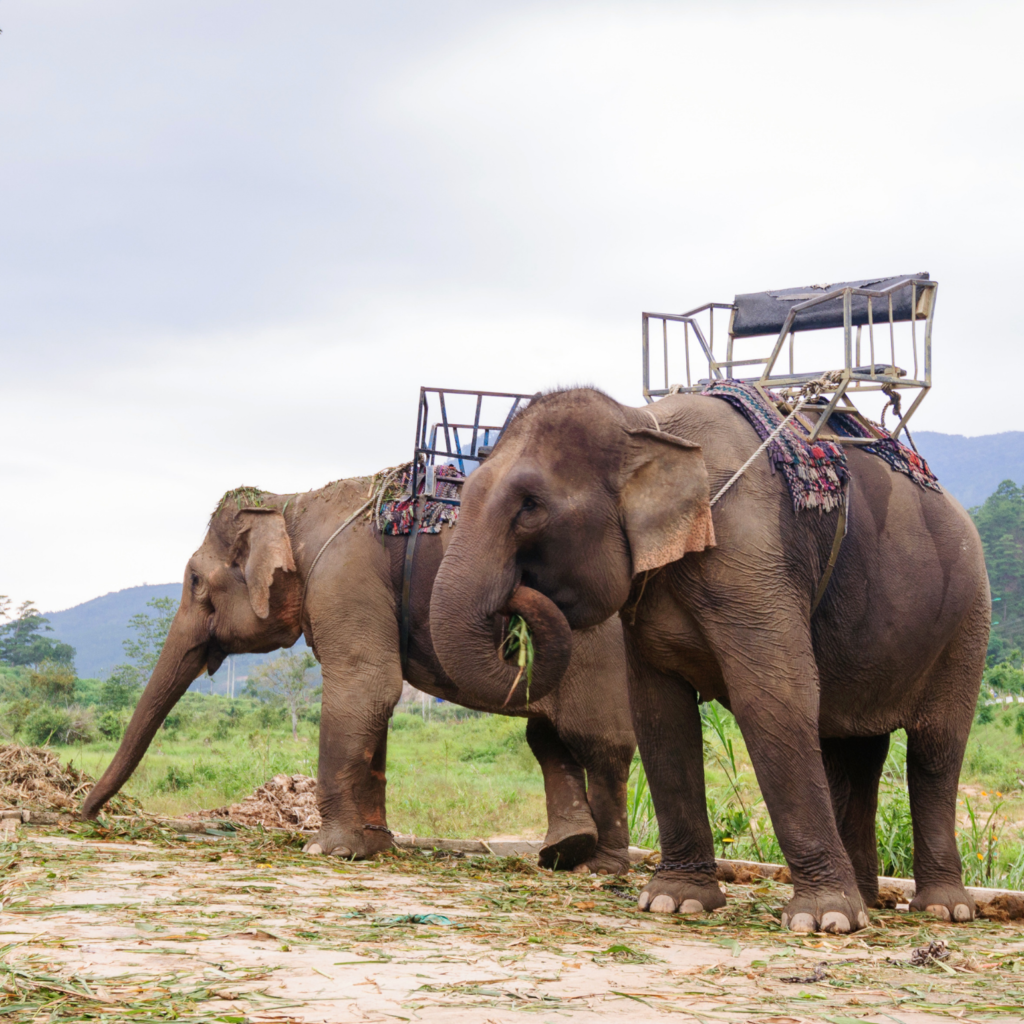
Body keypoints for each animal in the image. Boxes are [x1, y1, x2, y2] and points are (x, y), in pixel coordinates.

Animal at [432, 387, 991, 933]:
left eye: (530, 506)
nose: (519, 596)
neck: (645, 423)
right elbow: (659, 713)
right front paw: (674, 902)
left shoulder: (751, 555)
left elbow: (775, 699)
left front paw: (823, 920)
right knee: (853, 752)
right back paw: (870, 903)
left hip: (967, 623)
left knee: (936, 751)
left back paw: (941, 910)